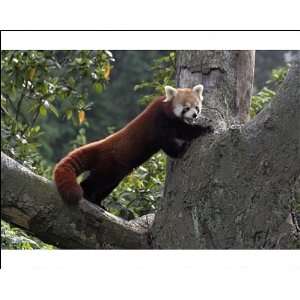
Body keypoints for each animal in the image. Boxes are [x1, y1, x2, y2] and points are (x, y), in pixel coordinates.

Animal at [54, 84, 213, 206]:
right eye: (186, 108)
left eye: (197, 107)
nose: (194, 115)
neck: (166, 108)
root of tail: (101, 145)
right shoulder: (161, 124)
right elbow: (174, 139)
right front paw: (195, 137)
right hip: (108, 166)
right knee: (95, 182)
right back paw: (87, 195)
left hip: (115, 174)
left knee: (106, 186)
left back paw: (98, 202)